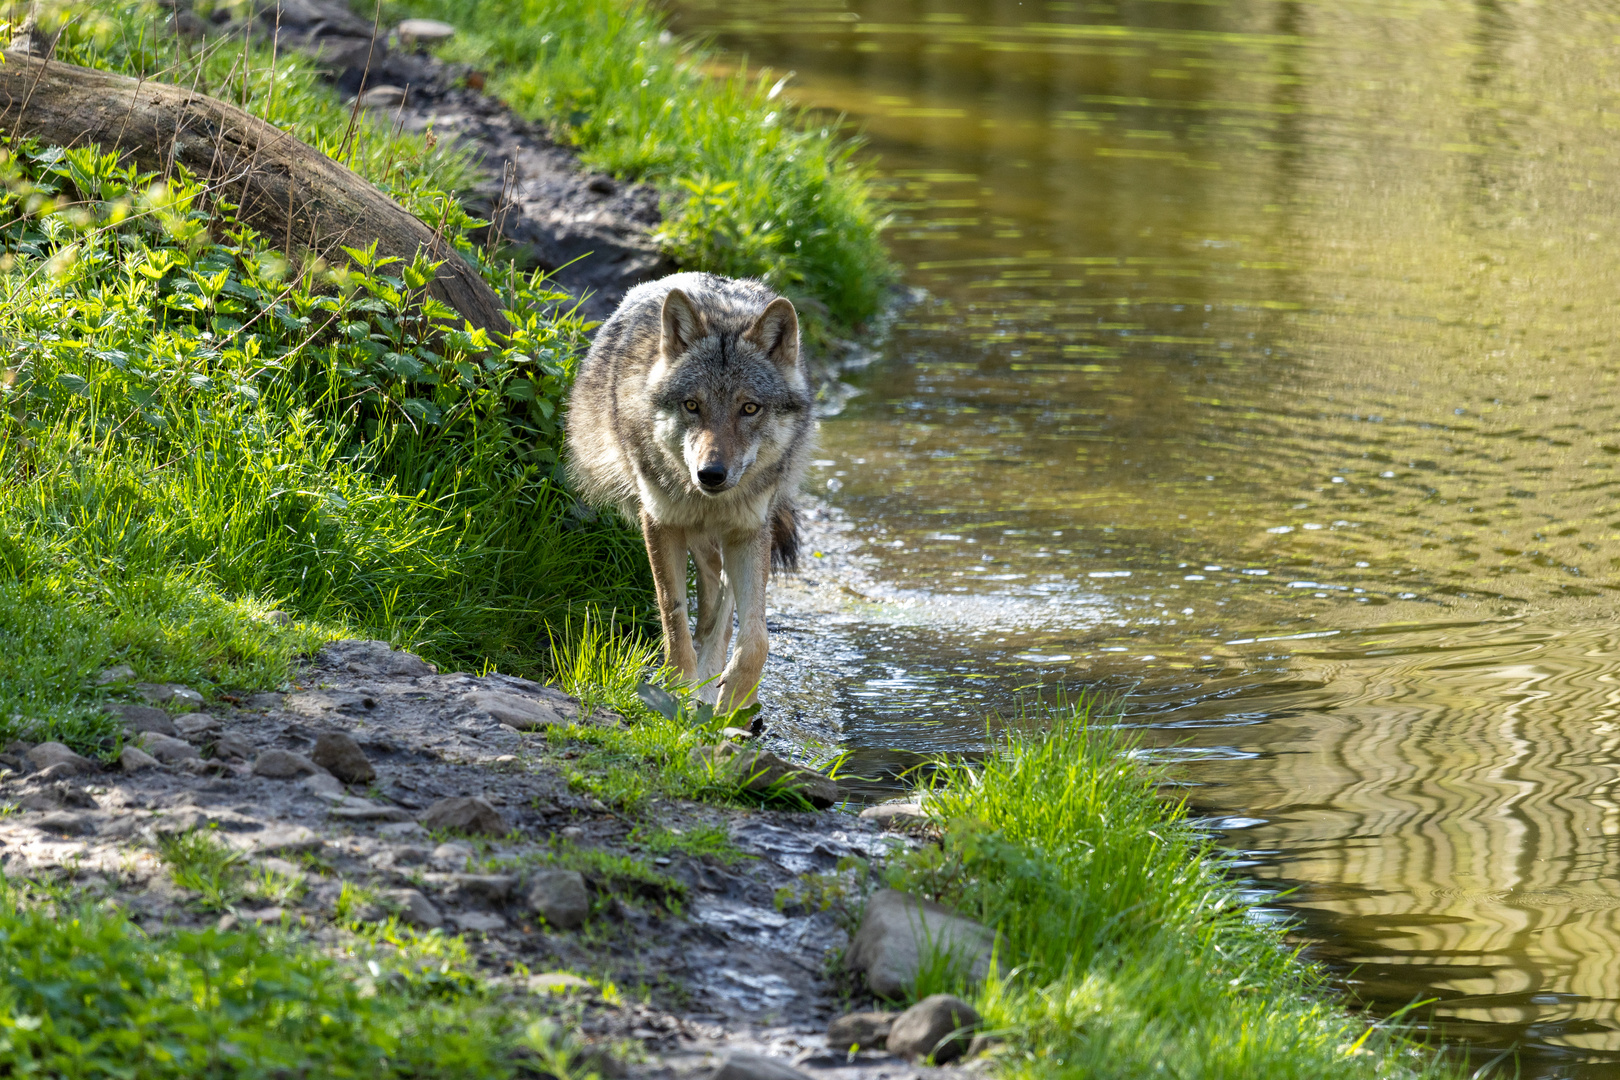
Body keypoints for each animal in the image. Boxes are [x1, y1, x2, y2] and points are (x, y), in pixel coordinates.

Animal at [567, 275, 816, 712]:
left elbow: (755, 638)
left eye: (749, 408)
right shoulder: (660, 522)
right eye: (692, 405)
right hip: (692, 532)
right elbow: (674, 617)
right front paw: (678, 692)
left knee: (723, 600)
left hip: (739, 535)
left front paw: (734, 702)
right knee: (710, 585)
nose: (711, 475)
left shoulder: (749, 531)